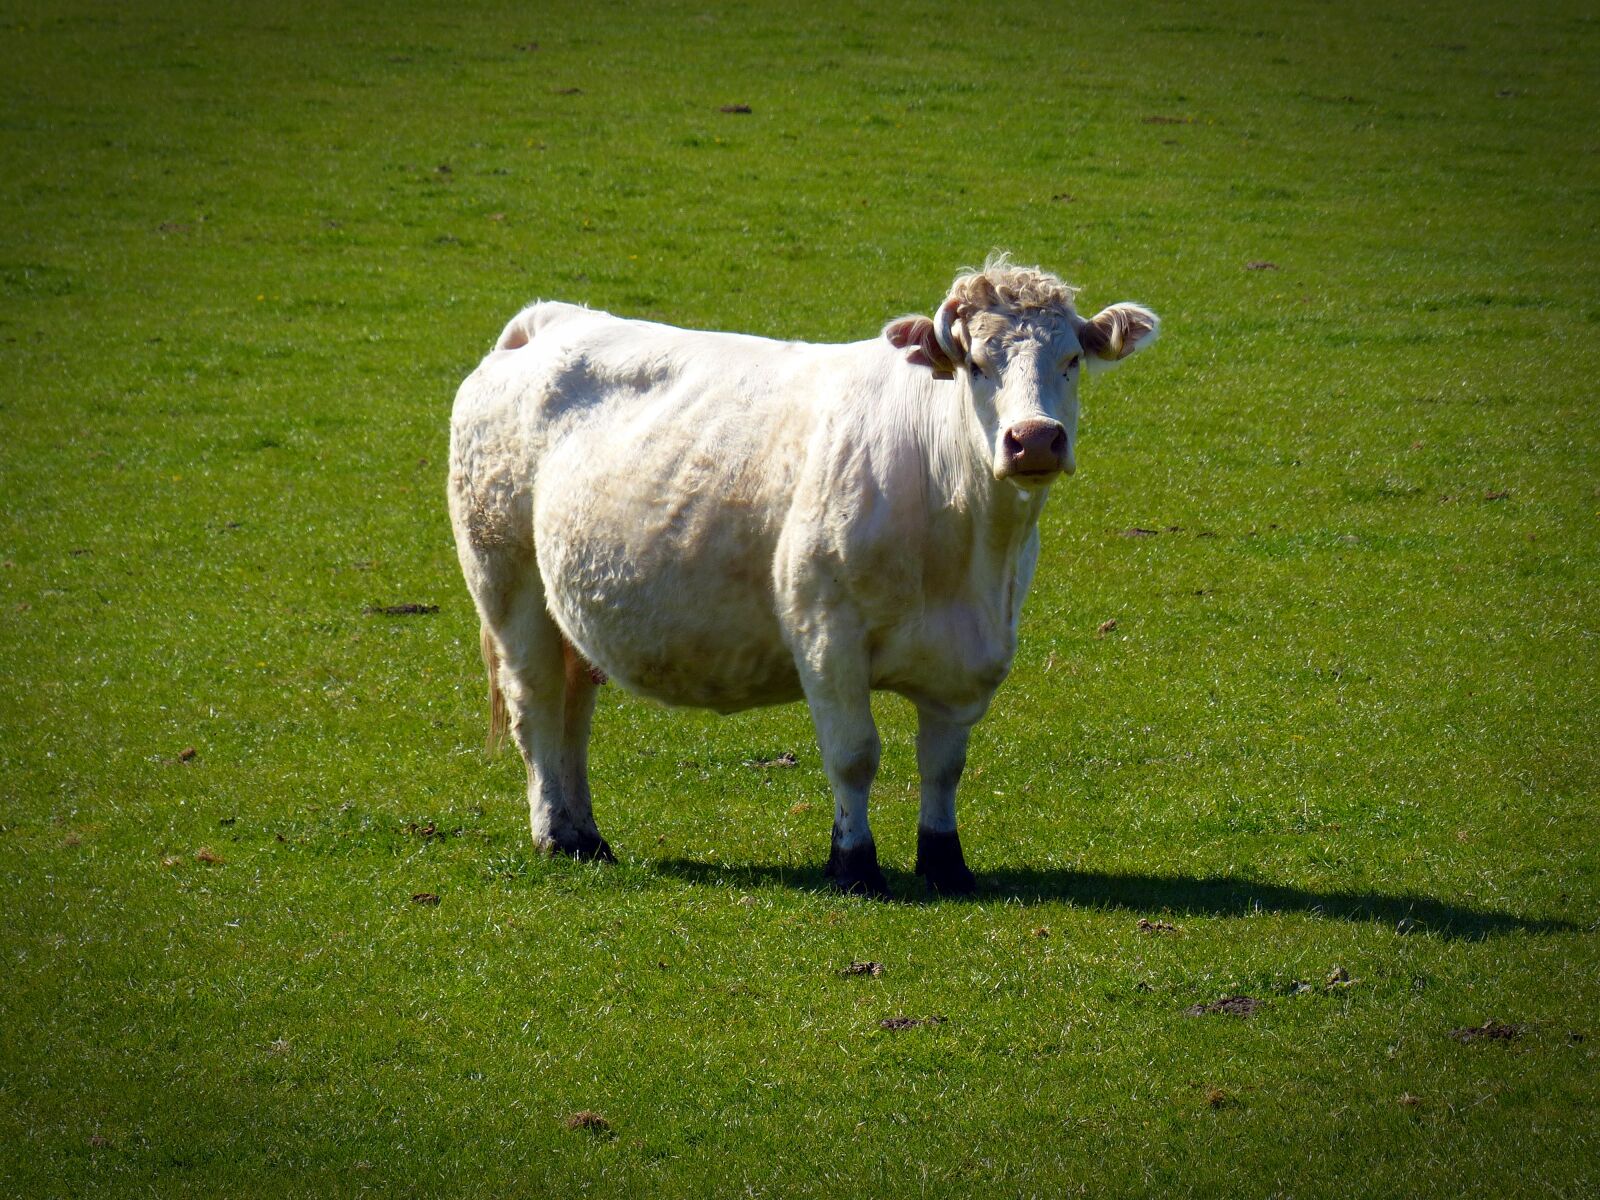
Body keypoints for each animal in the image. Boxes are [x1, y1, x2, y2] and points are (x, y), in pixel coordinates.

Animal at [448, 256, 1158, 897]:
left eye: (1071, 360)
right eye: (977, 365)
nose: (1034, 439)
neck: (964, 549)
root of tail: (549, 320)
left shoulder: (966, 656)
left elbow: (943, 766)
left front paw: (946, 866)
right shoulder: (825, 633)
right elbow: (854, 753)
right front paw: (853, 865)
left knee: (574, 709)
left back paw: (586, 835)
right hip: (507, 583)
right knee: (536, 703)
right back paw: (556, 836)